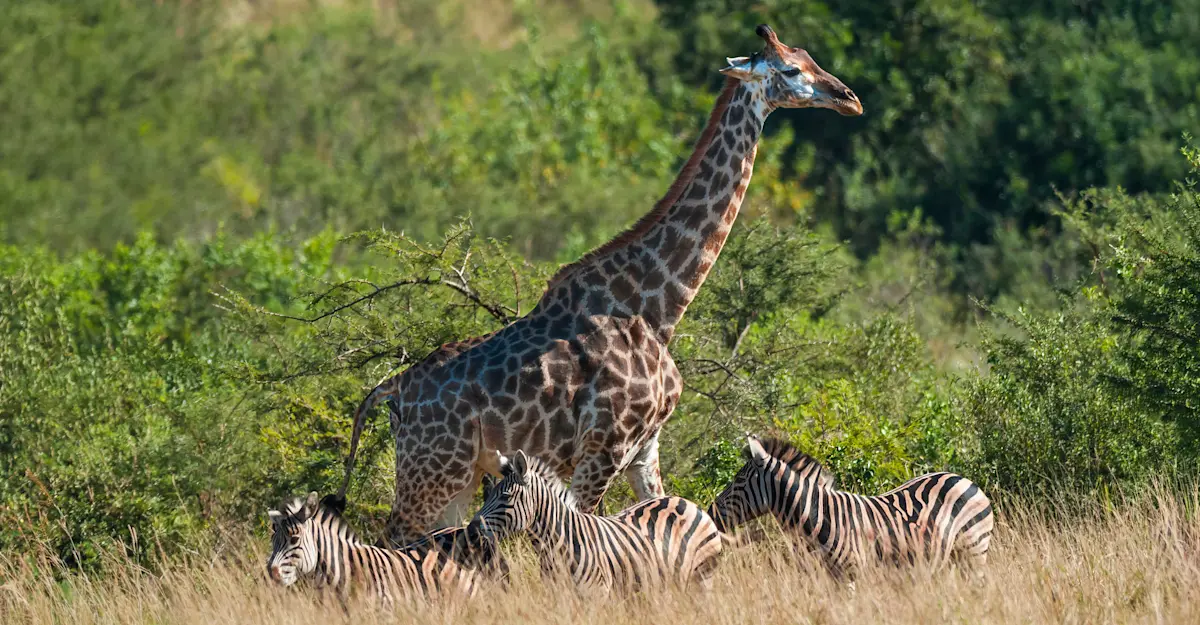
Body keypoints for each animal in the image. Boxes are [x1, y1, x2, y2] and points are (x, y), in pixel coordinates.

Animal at [338, 24, 863, 546]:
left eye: (809, 56)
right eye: (791, 70)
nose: (849, 98)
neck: (658, 309)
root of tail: (391, 389)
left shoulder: (644, 450)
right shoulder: (603, 448)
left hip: (459, 476)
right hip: (432, 471)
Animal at [467, 450, 725, 592]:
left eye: (506, 496)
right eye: (488, 495)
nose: (470, 531)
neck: (557, 545)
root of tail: (687, 502)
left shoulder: (597, 594)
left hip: (702, 576)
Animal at [708, 435, 993, 579]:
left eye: (739, 480)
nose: (710, 512)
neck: (818, 517)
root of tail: (964, 479)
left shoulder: (851, 573)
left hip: (974, 550)